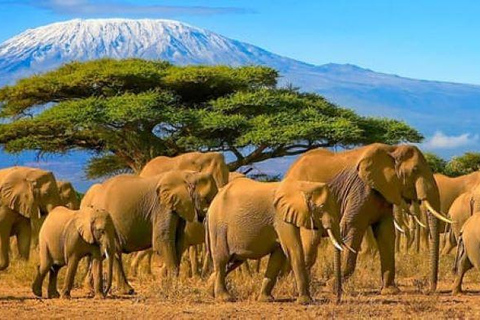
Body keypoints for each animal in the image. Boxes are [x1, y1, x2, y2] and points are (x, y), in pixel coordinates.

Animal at [88, 171, 218, 294]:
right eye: (206, 199)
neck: (188, 175)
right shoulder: (162, 207)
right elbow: (162, 241)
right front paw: (172, 289)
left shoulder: (177, 208)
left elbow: (178, 242)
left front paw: (167, 285)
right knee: (114, 251)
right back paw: (125, 290)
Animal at [207, 178, 344, 304]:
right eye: (321, 208)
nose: (337, 299)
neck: (303, 185)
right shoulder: (281, 217)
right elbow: (293, 249)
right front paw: (306, 302)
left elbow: (278, 256)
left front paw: (266, 300)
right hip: (218, 227)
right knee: (222, 259)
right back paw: (225, 298)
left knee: (233, 261)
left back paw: (209, 292)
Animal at [286, 144, 452, 294]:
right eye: (415, 170)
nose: (431, 290)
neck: (392, 150)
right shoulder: (360, 189)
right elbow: (351, 226)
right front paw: (331, 286)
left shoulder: (384, 192)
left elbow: (386, 233)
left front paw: (390, 291)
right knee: (310, 242)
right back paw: (296, 288)